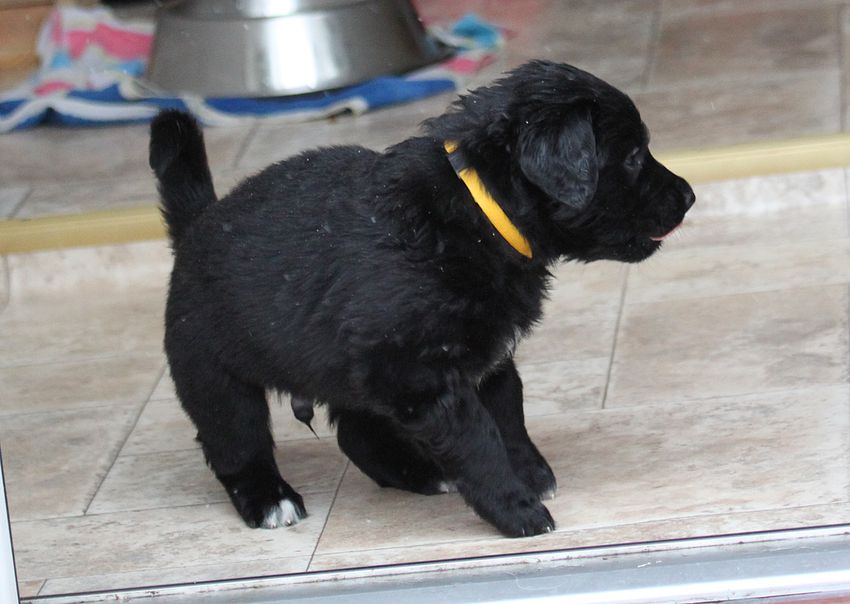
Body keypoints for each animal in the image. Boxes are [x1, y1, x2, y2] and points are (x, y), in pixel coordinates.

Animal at [149, 60, 694, 538]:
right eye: (632, 156)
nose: (689, 196)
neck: (479, 211)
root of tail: (196, 222)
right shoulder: (419, 375)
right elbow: (479, 441)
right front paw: (515, 508)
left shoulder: (485, 358)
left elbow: (509, 415)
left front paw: (531, 474)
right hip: (214, 372)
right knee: (236, 443)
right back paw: (270, 500)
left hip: (347, 371)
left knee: (355, 434)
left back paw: (421, 473)